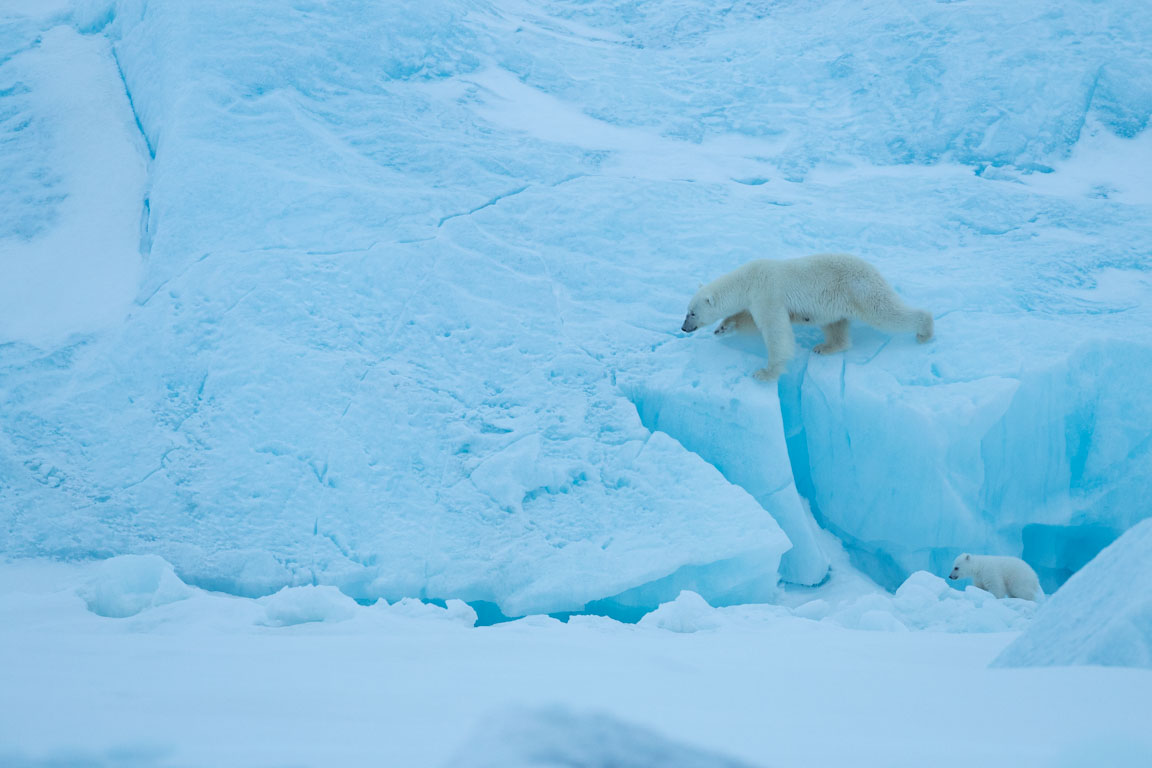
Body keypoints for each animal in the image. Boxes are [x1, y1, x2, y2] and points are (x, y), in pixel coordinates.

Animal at [677, 253, 930, 382]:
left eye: (692, 312)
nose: (683, 328)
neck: (748, 279)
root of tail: (874, 270)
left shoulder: (768, 293)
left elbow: (775, 330)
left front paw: (765, 373)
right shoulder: (756, 299)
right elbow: (747, 318)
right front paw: (723, 327)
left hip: (860, 290)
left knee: (885, 312)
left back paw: (924, 330)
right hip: (837, 302)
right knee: (835, 326)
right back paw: (824, 347)